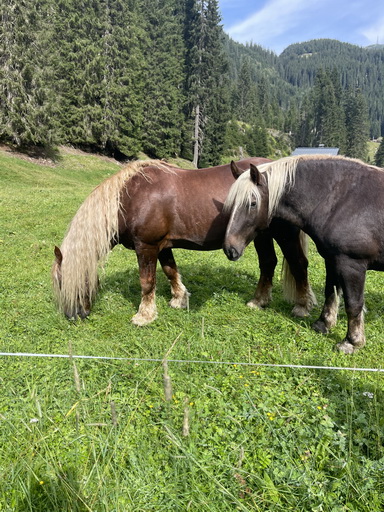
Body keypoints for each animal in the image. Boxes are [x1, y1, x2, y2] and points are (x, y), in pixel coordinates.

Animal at [51, 158, 316, 326]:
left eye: (66, 280)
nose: (73, 316)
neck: (131, 197)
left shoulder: (146, 246)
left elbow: (147, 282)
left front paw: (144, 316)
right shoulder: (162, 246)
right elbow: (170, 271)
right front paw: (179, 300)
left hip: (284, 234)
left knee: (298, 263)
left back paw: (302, 306)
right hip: (260, 235)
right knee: (268, 263)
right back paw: (258, 301)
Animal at [222, 155, 384, 352]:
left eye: (252, 203)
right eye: (231, 204)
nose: (230, 248)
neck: (342, 199)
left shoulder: (352, 265)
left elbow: (353, 303)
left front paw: (351, 342)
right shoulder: (332, 260)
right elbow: (330, 291)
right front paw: (323, 324)